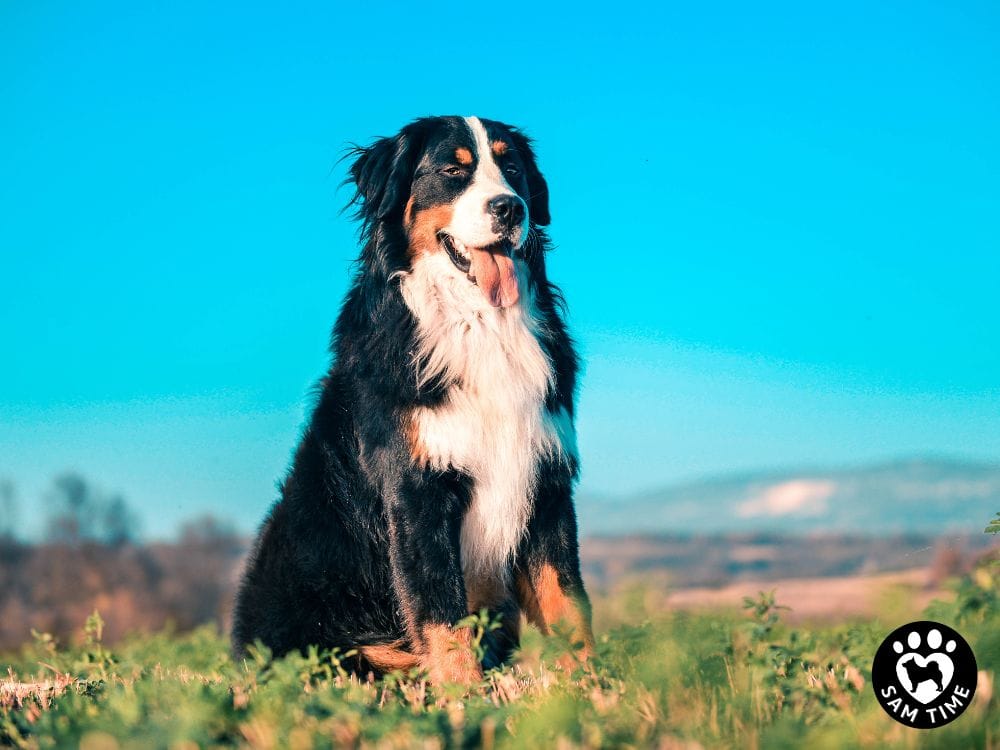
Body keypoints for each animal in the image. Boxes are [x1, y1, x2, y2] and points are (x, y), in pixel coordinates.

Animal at [232, 114, 592, 684]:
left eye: (511, 167)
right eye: (453, 171)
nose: (511, 208)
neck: (480, 326)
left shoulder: (547, 482)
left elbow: (569, 607)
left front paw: (597, 689)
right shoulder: (416, 491)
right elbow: (442, 619)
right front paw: (465, 699)